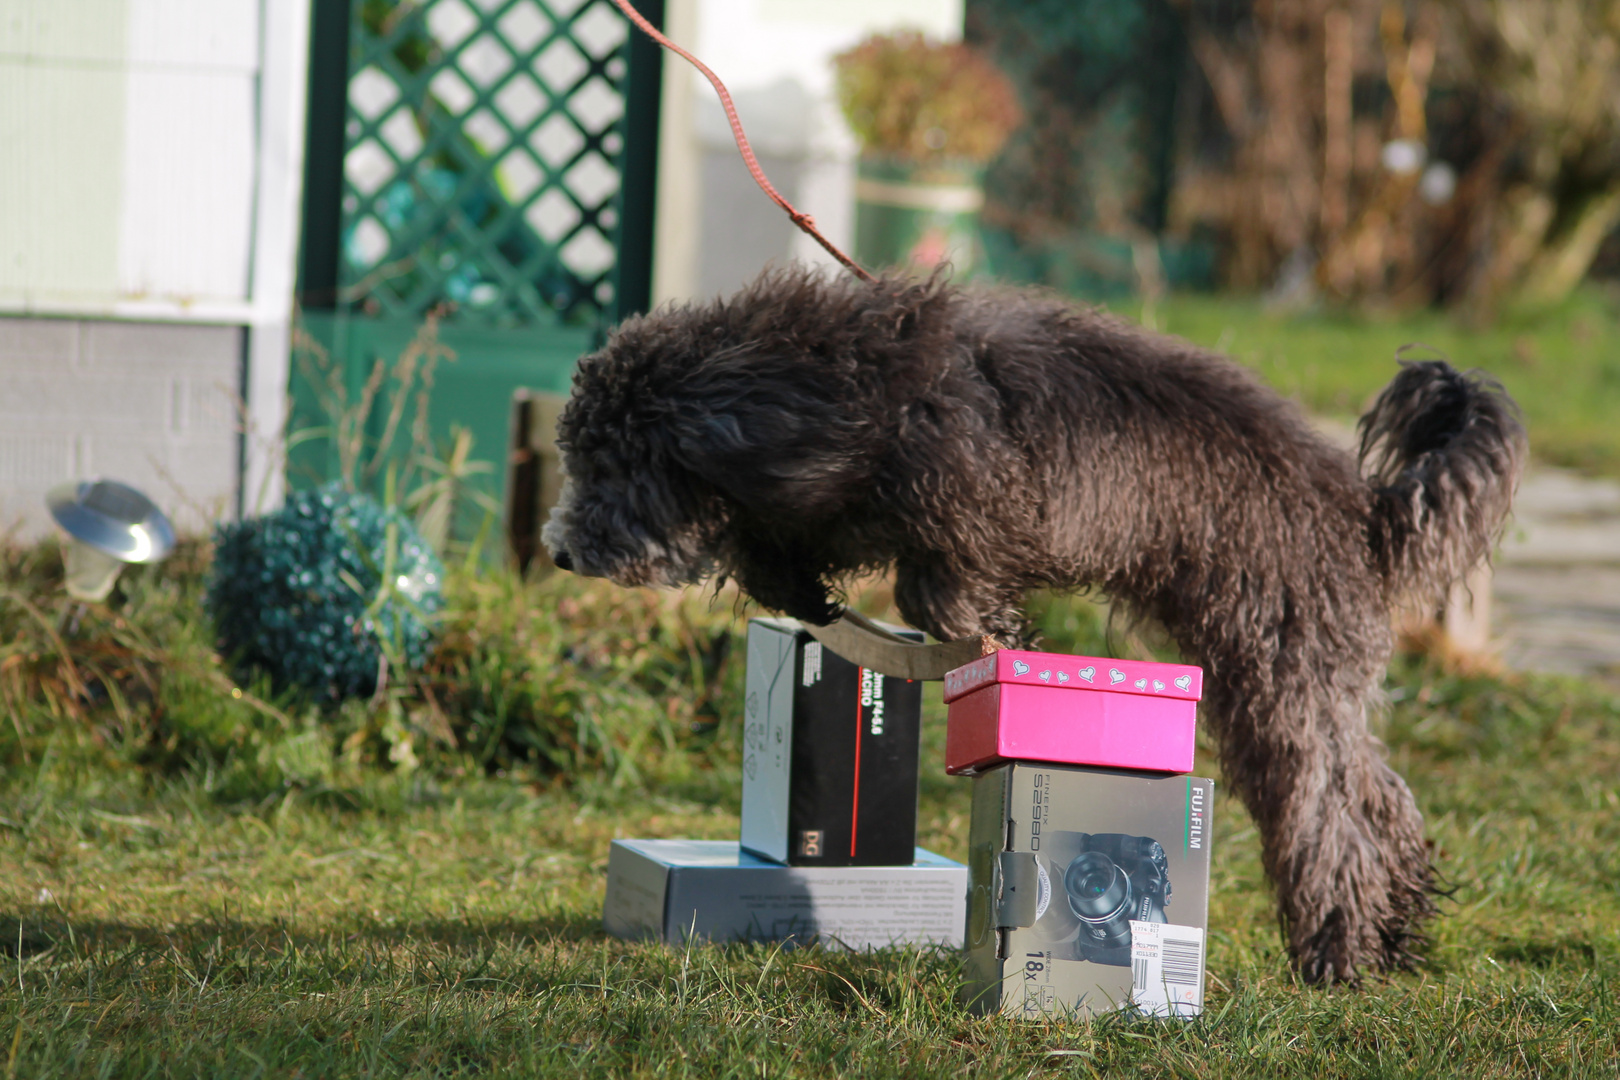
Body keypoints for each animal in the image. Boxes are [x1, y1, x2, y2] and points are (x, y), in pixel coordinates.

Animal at [550, 265, 1522, 984]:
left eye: (615, 458)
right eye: (583, 453)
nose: (560, 551)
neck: (851, 383)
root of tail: (1362, 511)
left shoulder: (964, 500)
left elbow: (937, 587)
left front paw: (989, 634)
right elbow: (802, 546)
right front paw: (792, 578)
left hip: (1277, 664)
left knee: (1325, 812)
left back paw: (1340, 947)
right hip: (1302, 675)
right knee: (1374, 794)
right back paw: (1394, 927)